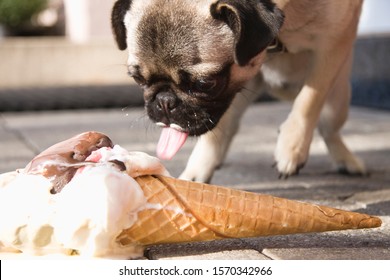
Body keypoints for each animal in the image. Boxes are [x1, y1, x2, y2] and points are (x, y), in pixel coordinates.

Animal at [110, 0, 366, 183]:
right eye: (138, 79)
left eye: (204, 83)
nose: (164, 101)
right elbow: (215, 131)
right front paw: (200, 167)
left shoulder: (334, 43)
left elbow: (309, 99)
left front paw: (291, 148)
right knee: (227, 127)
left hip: (338, 99)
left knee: (328, 128)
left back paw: (346, 161)